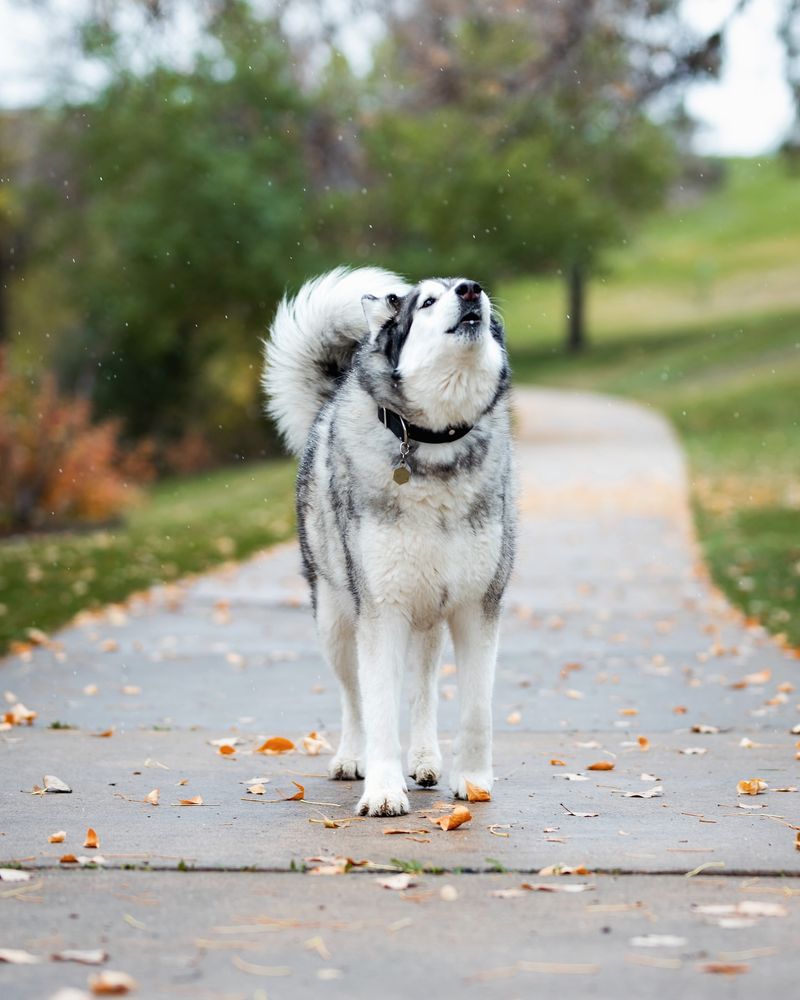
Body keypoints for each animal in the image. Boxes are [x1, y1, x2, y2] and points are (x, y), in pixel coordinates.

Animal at [260, 270, 516, 816]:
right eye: (427, 302)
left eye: (472, 288)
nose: (471, 290)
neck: (436, 447)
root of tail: (330, 401)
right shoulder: (381, 612)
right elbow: (377, 708)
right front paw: (382, 789)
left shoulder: (477, 609)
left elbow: (476, 711)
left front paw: (474, 782)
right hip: (337, 622)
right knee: (354, 698)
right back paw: (352, 759)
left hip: (427, 619)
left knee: (421, 690)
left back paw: (423, 760)